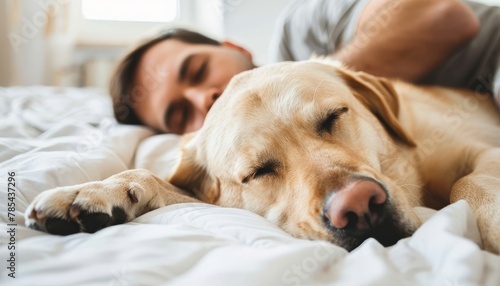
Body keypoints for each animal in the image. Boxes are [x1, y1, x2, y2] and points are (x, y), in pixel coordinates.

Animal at [25, 59, 500, 252]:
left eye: (333, 117)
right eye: (257, 172)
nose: (359, 206)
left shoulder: (482, 148)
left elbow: (468, 180)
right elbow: (155, 178)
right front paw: (99, 190)